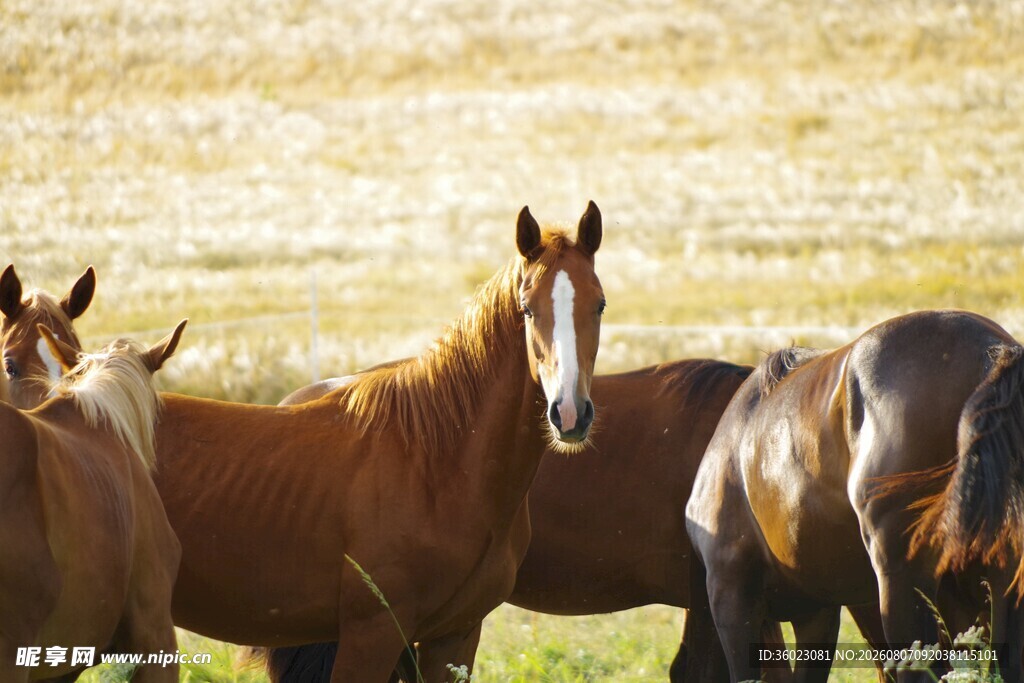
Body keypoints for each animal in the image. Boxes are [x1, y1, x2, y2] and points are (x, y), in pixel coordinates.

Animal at [150, 203, 606, 681]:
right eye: (527, 309)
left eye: (599, 305)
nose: (569, 412)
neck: (437, 466)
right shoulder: (371, 635)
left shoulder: (454, 637)